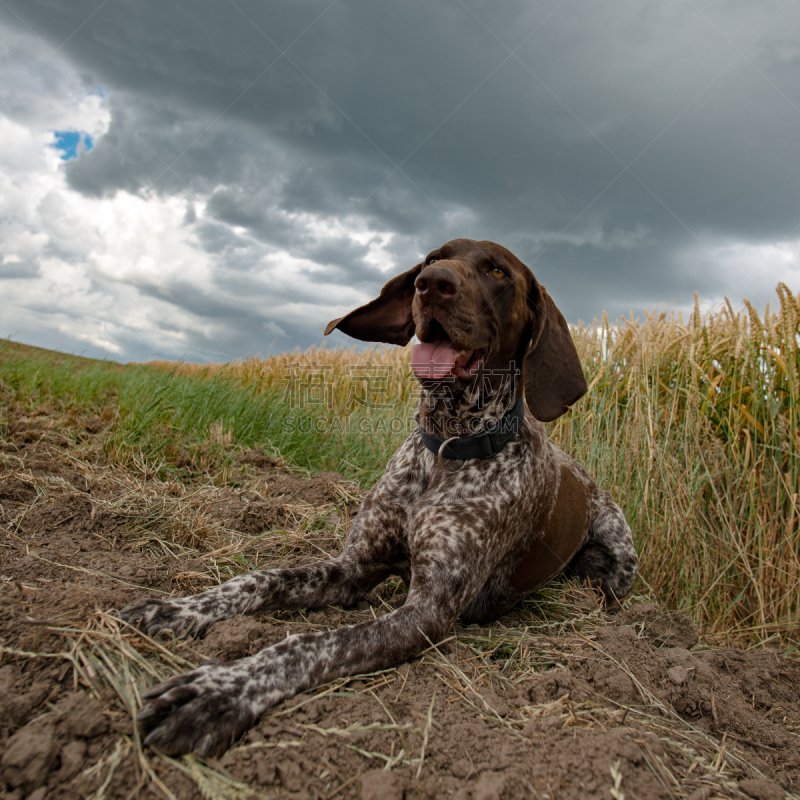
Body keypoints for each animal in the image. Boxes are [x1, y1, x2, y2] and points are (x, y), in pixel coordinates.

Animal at [117, 238, 636, 756]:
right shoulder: (354, 568)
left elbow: (307, 645)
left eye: (497, 272)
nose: (432, 284)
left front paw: (219, 692)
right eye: (432, 259)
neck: (446, 445)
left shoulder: (426, 612)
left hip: (617, 554)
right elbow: (259, 579)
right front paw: (176, 609)